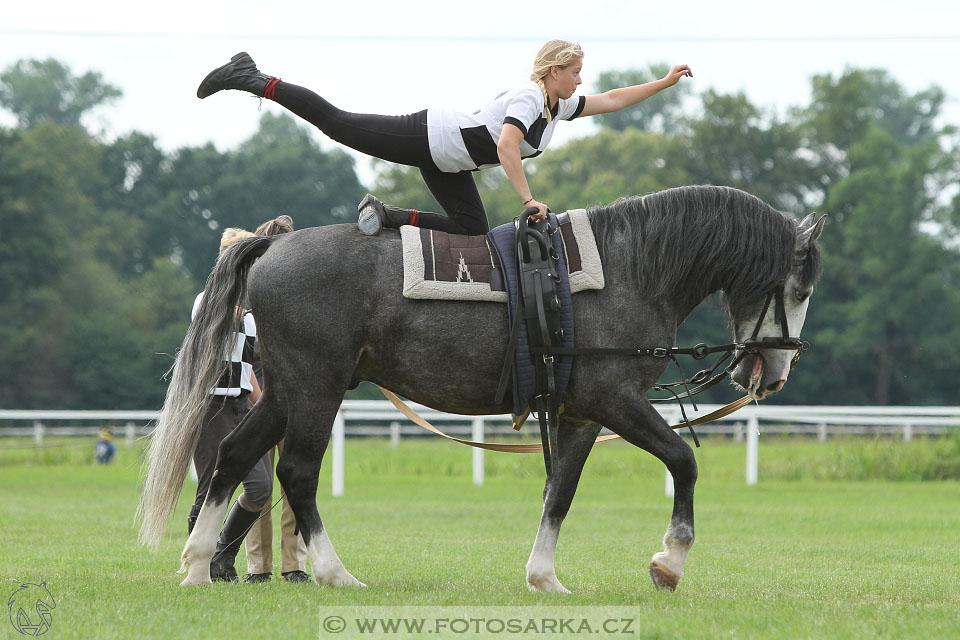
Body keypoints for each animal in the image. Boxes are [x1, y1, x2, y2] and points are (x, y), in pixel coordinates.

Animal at [139, 182, 820, 592]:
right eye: (799, 288)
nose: (776, 373)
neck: (634, 269)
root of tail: (272, 246)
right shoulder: (616, 401)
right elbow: (682, 460)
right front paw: (669, 562)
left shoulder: (579, 414)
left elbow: (560, 491)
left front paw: (544, 578)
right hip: (316, 390)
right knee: (297, 474)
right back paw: (334, 572)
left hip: (283, 394)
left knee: (232, 459)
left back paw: (198, 565)